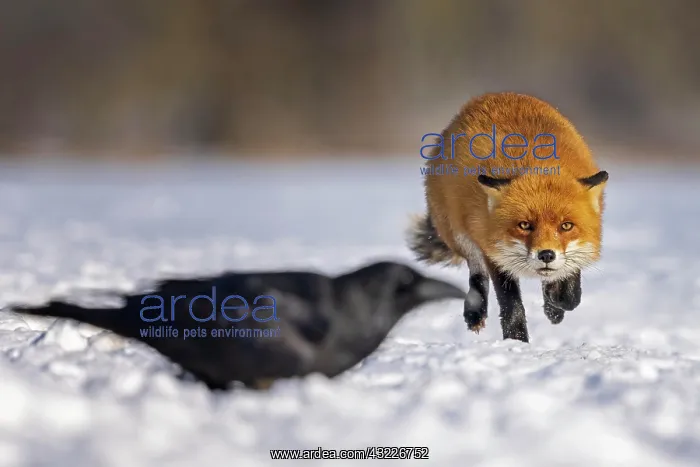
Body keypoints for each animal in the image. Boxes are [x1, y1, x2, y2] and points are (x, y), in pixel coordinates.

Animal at [408, 92, 609, 342]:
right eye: (524, 225)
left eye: (566, 226)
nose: (546, 255)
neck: (538, 162)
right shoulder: (494, 252)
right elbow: (511, 306)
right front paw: (517, 341)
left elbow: (570, 295)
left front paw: (554, 305)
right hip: (460, 235)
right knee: (477, 276)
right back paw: (474, 313)